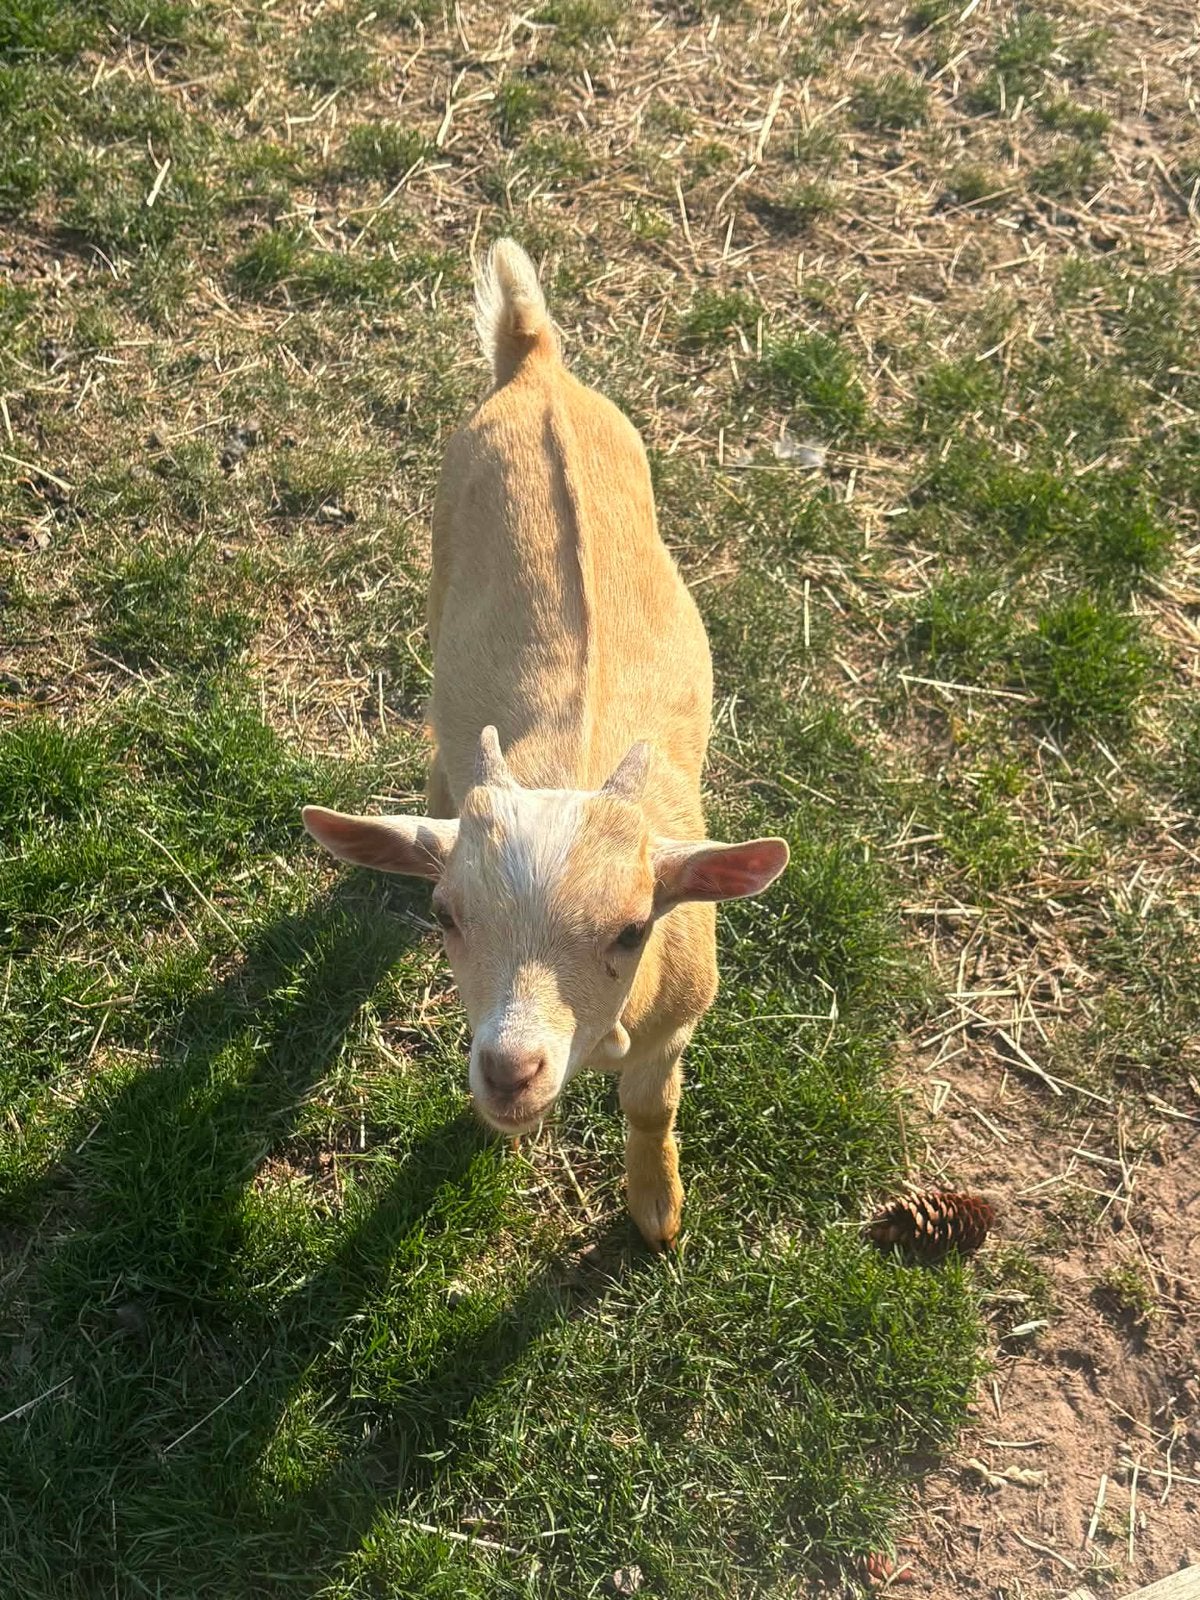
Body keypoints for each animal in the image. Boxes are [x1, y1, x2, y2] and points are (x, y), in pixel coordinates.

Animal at [303, 240, 788, 1246]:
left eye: (635, 929)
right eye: (445, 914)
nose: (509, 1070)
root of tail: (538, 368)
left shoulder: (677, 1024)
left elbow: (652, 1107)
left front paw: (656, 1212)